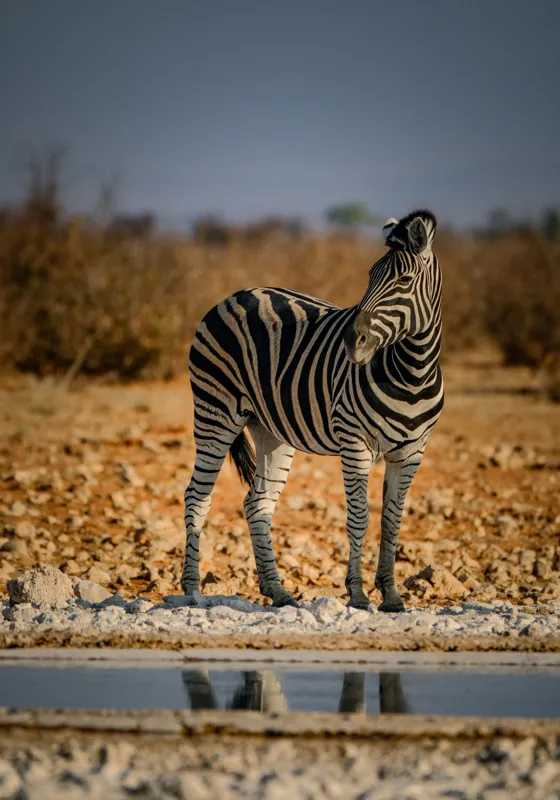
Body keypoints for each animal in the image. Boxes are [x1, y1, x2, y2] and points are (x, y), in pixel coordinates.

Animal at [181, 209, 443, 612]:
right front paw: (357, 595)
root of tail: (236, 295)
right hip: (214, 413)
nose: (352, 341)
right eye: (370, 275)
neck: (412, 373)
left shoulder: (413, 451)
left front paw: (391, 595)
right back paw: (193, 591)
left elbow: (392, 521)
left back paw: (278, 591)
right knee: (197, 497)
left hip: (269, 429)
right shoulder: (355, 442)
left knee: (257, 503)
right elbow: (359, 517)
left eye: (404, 280)